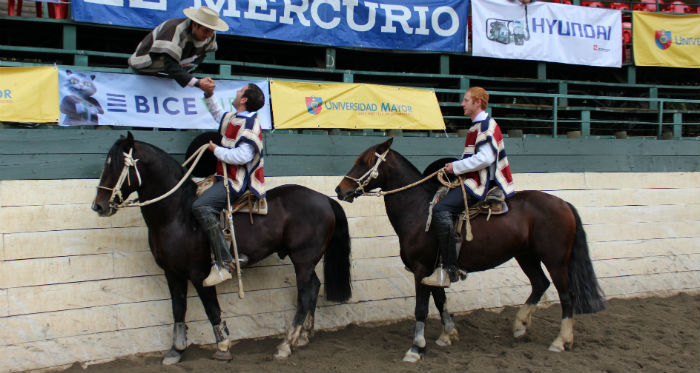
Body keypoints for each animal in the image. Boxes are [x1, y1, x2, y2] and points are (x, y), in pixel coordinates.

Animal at [93, 133, 352, 364]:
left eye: (119, 165)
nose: (99, 206)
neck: (177, 215)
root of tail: (324, 198)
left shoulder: (199, 273)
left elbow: (212, 310)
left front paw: (223, 346)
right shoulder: (172, 273)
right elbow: (178, 309)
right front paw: (176, 350)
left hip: (303, 259)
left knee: (305, 293)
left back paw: (286, 345)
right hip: (307, 260)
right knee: (314, 288)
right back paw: (304, 336)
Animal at [336, 138, 604, 362]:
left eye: (364, 162)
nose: (340, 189)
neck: (419, 210)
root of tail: (564, 203)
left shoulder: (422, 269)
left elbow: (421, 308)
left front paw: (416, 348)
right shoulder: (437, 269)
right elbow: (441, 301)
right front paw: (447, 335)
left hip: (556, 260)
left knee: (567, 295)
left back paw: (560, 340)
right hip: (526, 255)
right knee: (540, 284)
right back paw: (520, 325)